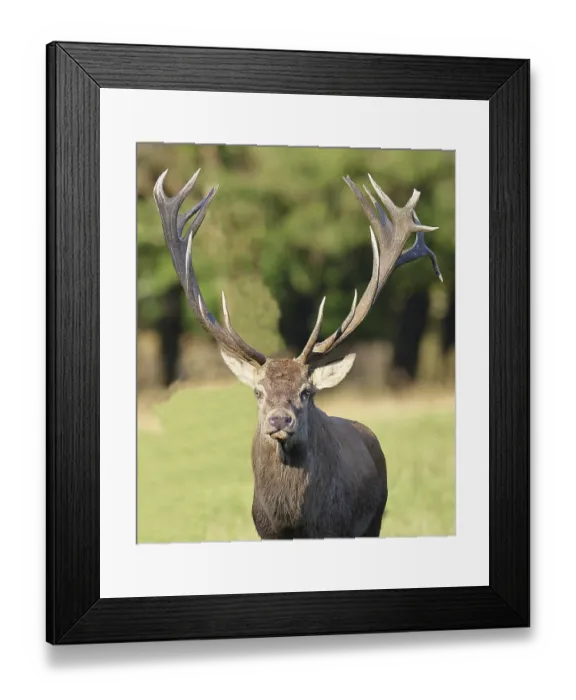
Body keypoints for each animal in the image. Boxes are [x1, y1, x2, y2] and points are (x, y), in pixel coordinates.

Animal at [153, 169, 442, 539]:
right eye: (258, 391)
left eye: (307, 391)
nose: (279, 420)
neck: (293, 520)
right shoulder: (264, 532)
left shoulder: (336, 528)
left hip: (374, 520)